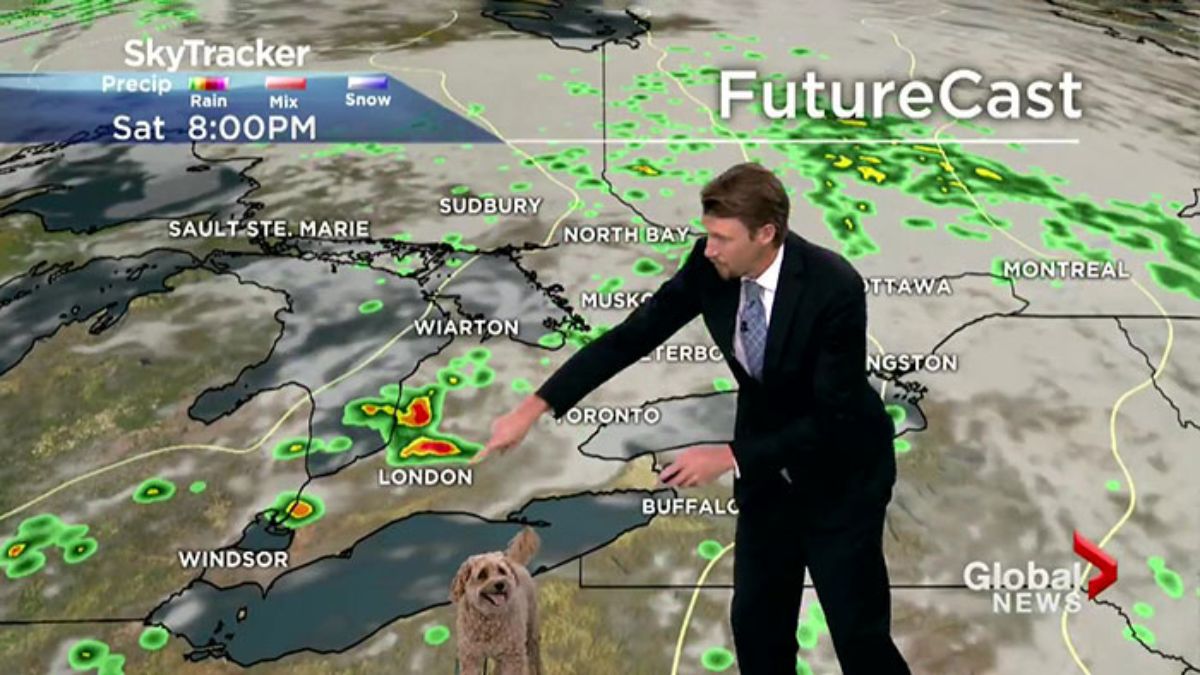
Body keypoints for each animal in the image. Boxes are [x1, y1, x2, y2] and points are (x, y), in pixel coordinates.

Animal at [451, 526, 544, 672]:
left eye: (501, 571)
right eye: (482, 574)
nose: (500, 584)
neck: (489, 618)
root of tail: (514, 561)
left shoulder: (513, 656)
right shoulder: (471, 656)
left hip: (531, 632)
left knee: (534, 658)